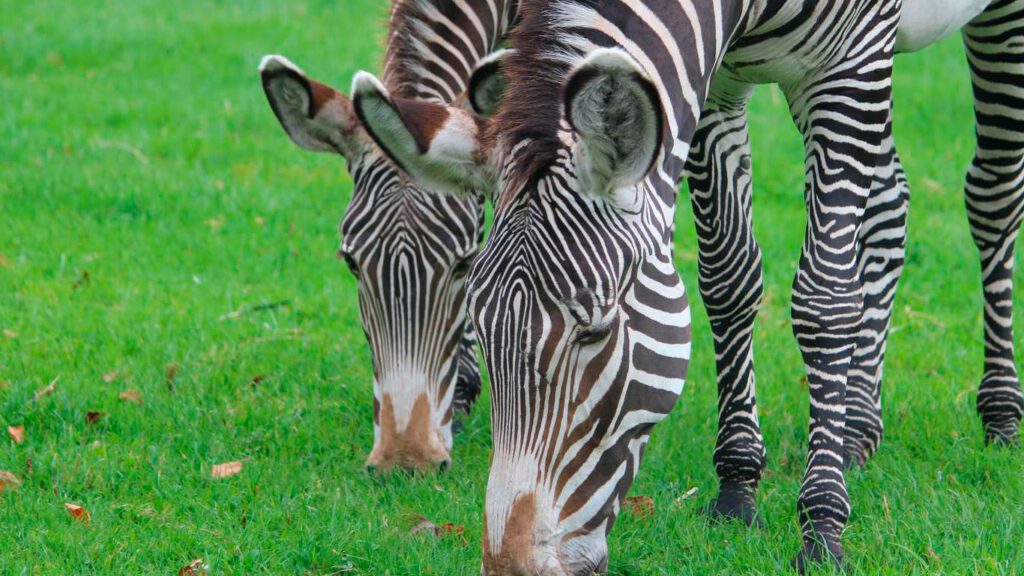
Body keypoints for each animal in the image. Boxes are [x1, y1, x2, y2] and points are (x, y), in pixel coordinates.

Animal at [349, 0, 1024, 571]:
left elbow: (825, 298)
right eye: (351, 266)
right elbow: (730, 278)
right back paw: (858, 424)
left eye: (594, 331)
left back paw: (999, 416)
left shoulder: (848, 61)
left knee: (991, 193)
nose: (512, 565)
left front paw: (822, 528)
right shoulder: (713, 78)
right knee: (889, 201)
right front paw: (738, 489)